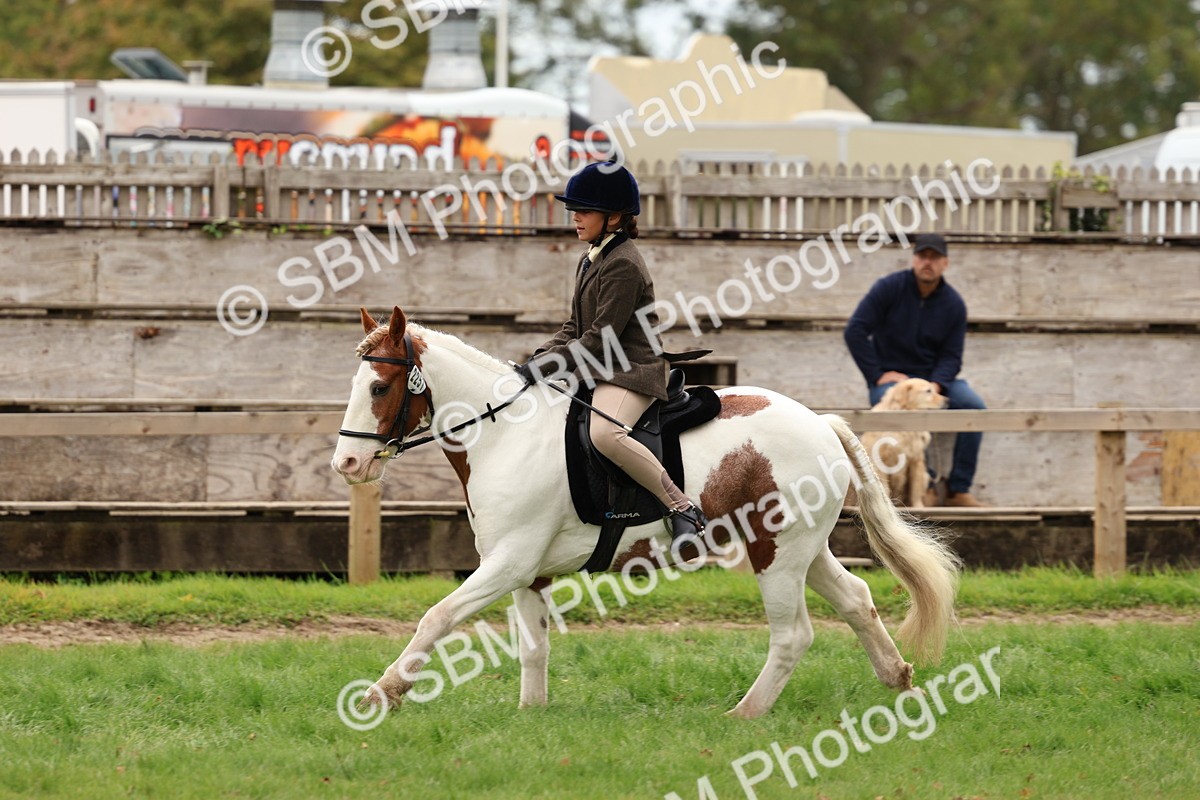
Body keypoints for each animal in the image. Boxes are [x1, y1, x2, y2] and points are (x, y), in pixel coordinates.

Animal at [331, 306, 959, 719]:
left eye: (381, 387)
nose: (347, 463)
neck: (504, 432)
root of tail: (821, 423)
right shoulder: (526, 572)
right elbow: (534, 645)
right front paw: (532, 714)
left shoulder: (508, 563)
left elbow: (436, 618)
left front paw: (381, 694)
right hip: (802, 548)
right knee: (856, 599)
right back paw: (899, 681)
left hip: (775, 553)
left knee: (794, 634)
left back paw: (744, 714)